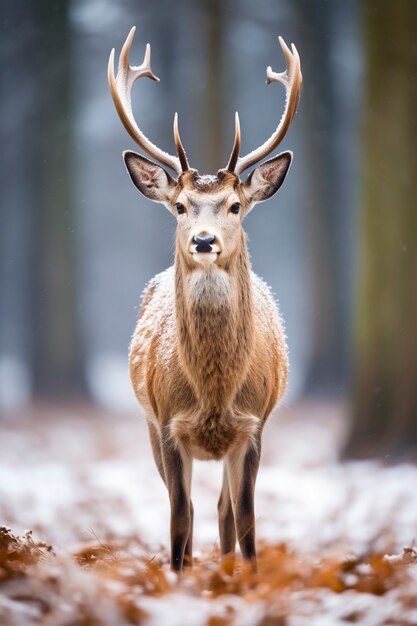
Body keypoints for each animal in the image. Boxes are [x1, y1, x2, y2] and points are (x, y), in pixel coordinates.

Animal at [109, 26, 300, 572]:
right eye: (179, 206)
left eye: (235, 205)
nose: (203, 240)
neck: (214, 393)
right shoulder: (168, 423)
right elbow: (178, 520)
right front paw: (178, 578)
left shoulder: (254, 425)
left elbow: (248, 520)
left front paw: (248, 579)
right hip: (150, 424)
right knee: (195, 511)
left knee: (223, 511)